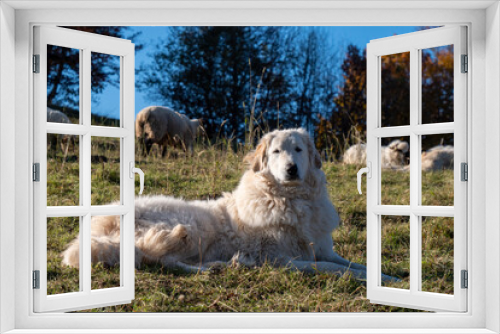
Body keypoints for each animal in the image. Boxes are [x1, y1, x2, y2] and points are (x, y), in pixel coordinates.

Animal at [62, 128, 396, 282]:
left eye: (298, 150)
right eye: (276, 152)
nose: (291, 169)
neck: (290, 200)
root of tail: (96, 226)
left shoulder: (322, 248)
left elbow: (352, 263)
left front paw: (387, 278)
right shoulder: (281, 260)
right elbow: (331, 268)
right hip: (190, 228)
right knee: (157, 260)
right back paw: (219, 266)